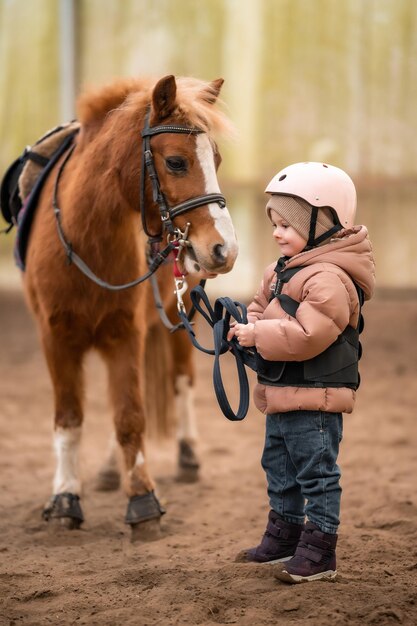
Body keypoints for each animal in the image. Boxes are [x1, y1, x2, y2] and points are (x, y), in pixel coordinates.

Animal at [23, 75, 237, 540]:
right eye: (176, 162)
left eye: (216, 159)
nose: (224, 250)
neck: (85, 242)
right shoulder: (54, 336)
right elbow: (70, 418)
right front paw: (65, 499)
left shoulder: (126, 333)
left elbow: (131, 416)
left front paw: (142, 499)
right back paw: (107, 470)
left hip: (179, 313)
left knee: (181, 380)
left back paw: (188, 455)